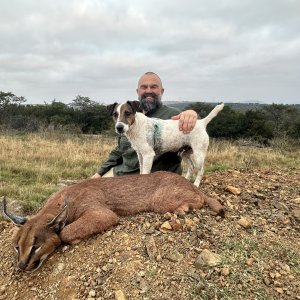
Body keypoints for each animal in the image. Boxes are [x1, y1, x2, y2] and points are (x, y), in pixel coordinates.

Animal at [1, 171, 223, 272]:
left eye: (35, 247)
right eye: (16, 247)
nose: (21, 265)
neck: (64, 200)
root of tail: (184, 180)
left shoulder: (103, 213)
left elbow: (64, 232)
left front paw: (71, 238)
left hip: (160, 200)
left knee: (200, 198)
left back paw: (184, 208)